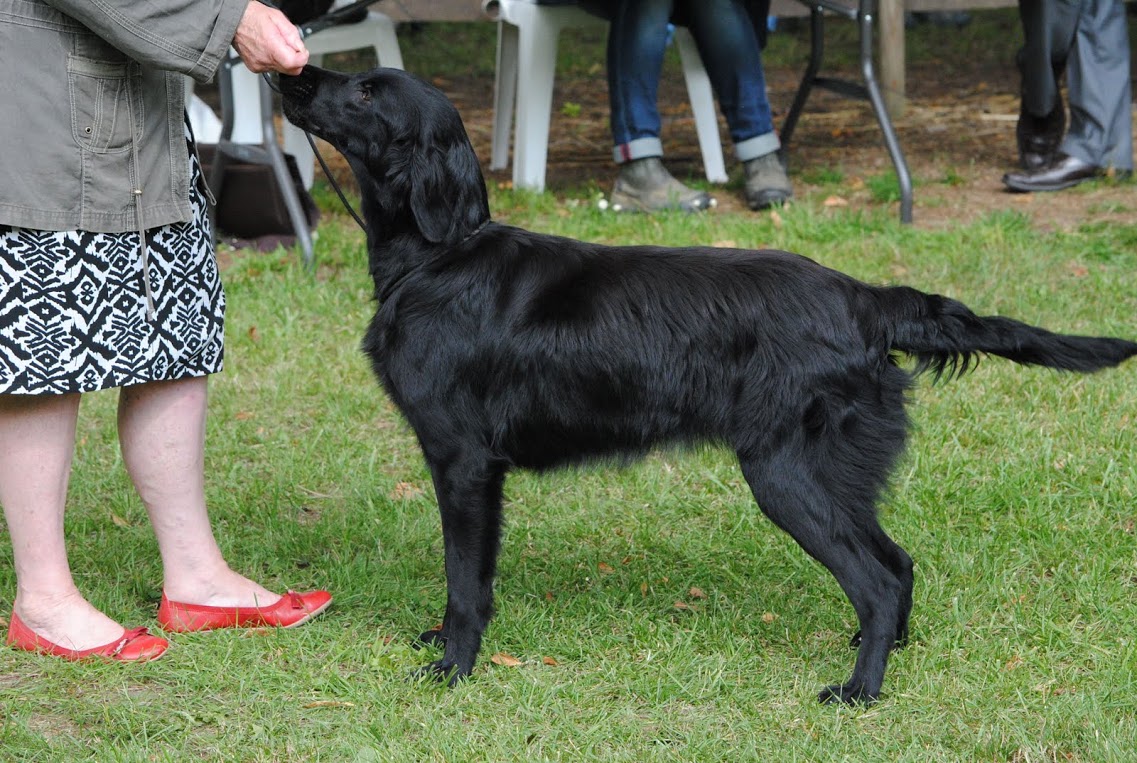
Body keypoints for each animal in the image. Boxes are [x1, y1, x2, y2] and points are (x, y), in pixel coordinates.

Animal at [277, 65, 1137, 705]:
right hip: (831, 473)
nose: (296, 70)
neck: (439, 256)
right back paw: (876, 651)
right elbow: (470, 576)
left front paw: (453, 664)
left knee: (877, 576)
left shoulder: (462, 461)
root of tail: (863, 297)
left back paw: (858, 688)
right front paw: (442, 641)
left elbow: (463, 578)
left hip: (786, 472)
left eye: (366, 92)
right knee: (896, 564)